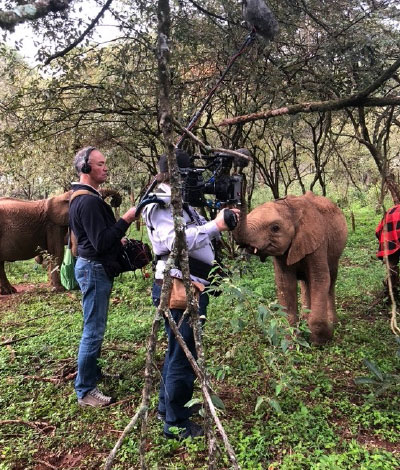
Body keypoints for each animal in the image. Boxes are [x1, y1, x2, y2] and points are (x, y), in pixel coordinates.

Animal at [234, 191, 346, 346]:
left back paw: (332, 323)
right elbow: (286, 285)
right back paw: (306, 320)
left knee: (331, 279)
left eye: (275, 228)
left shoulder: (318, 242)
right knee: (306, 282)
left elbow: (320, 280)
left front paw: (321, 341)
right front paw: (291, 343)